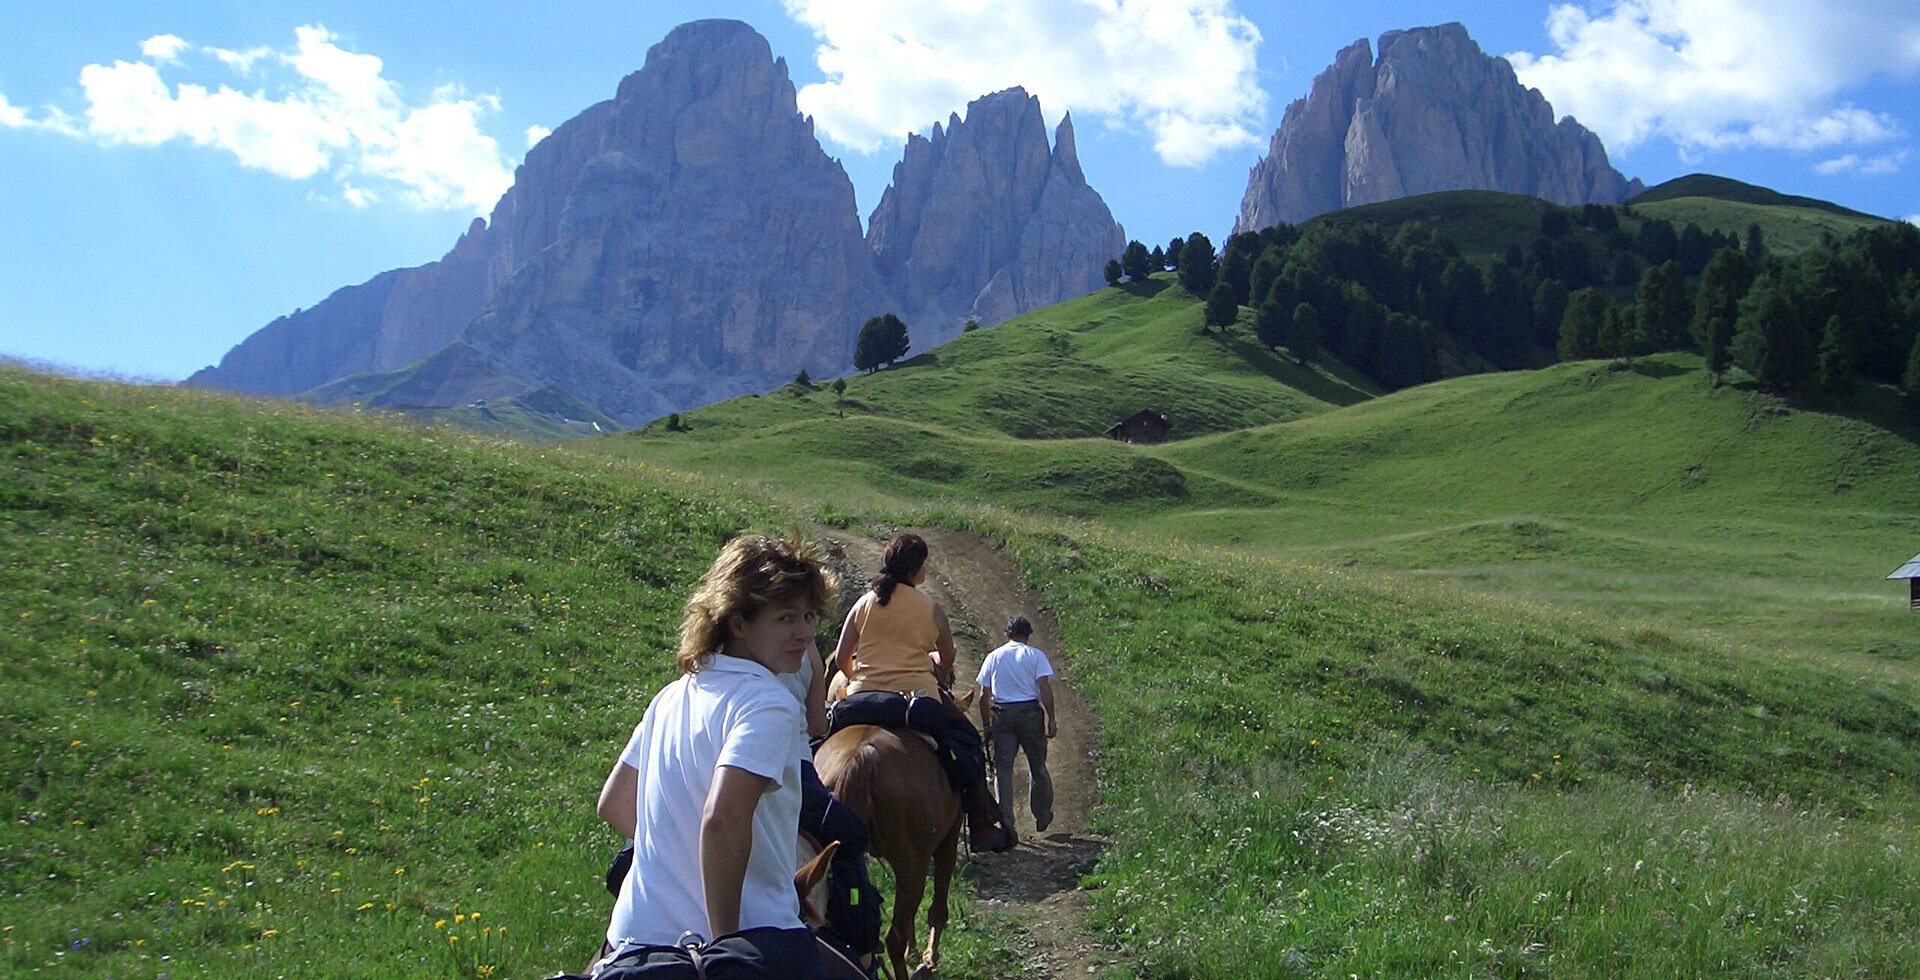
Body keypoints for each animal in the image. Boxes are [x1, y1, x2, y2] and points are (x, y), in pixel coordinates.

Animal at [817, 687, 983, 980]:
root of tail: (862, 756)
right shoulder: (947, 841)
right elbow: (938, 907)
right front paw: (929, 957)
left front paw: (916, 952)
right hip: (913, 862)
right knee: (893, 937)